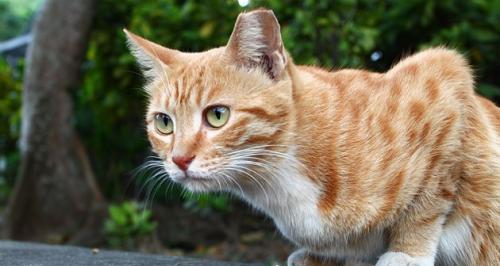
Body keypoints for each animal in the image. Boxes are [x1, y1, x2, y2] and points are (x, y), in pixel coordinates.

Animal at [124, 8, 500, 266]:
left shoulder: (445, 81)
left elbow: (427, 204)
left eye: (217, 115)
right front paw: (321, 256)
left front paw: (406, 254)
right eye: (164, 123)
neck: (278, 179)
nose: (180, 159)